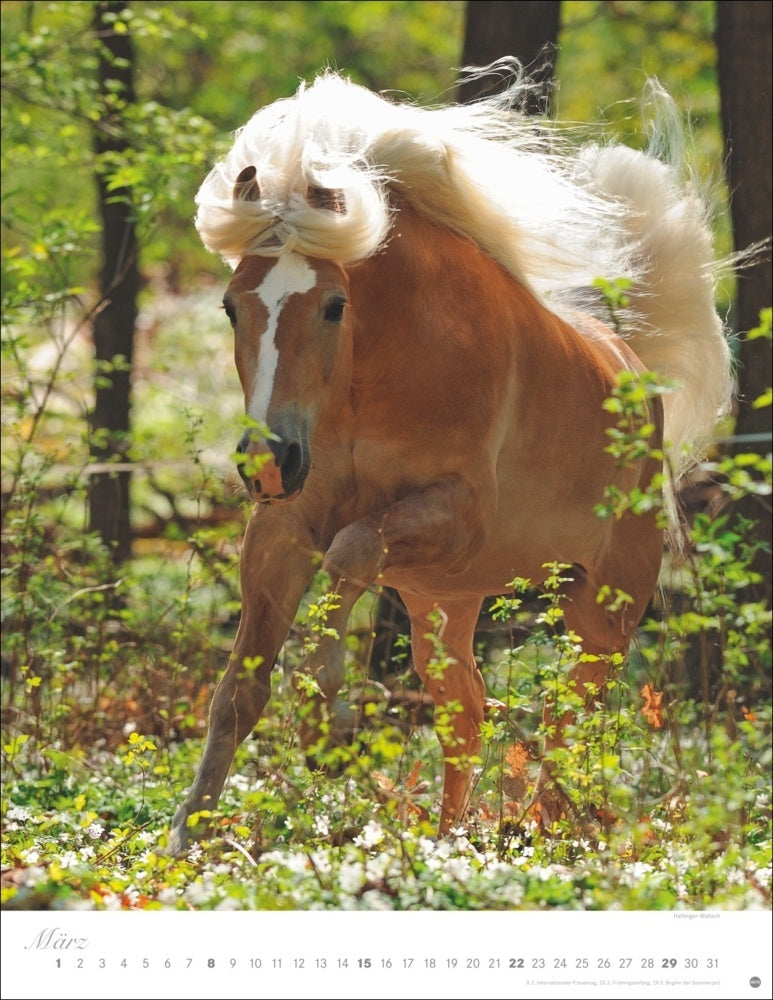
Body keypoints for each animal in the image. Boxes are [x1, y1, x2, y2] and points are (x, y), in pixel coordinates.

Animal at [167, 70, 732, 855]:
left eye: (334, 305)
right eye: (230, 306)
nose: (270, 460)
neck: (374, 375)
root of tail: (629, 363)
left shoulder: (457, 516)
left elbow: (349, 550)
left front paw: (327, 727)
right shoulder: (283, 529)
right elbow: (238, 692)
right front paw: (185, 840)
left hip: (601, 608)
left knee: (569, 716)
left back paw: (549, 832)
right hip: (443, 603)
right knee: (467, 711)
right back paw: (450, 840)